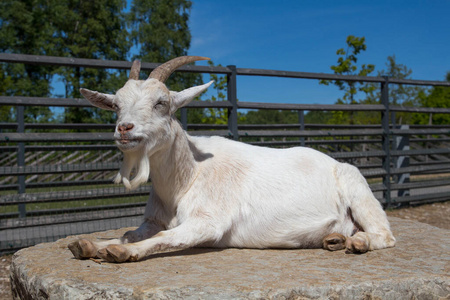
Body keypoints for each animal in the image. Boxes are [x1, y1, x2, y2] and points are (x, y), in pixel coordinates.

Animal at [68, 56, 396, 262]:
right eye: (115, 106)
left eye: (161, 103)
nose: (124, 128)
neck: (186, 178)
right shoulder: (153, 219)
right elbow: (127, 233)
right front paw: (87, 244)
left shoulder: (208, 223)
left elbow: (163, 237)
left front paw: (120, 253)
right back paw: (334, 240)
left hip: (357, 188)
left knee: (385, 234)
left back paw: (357, 242)